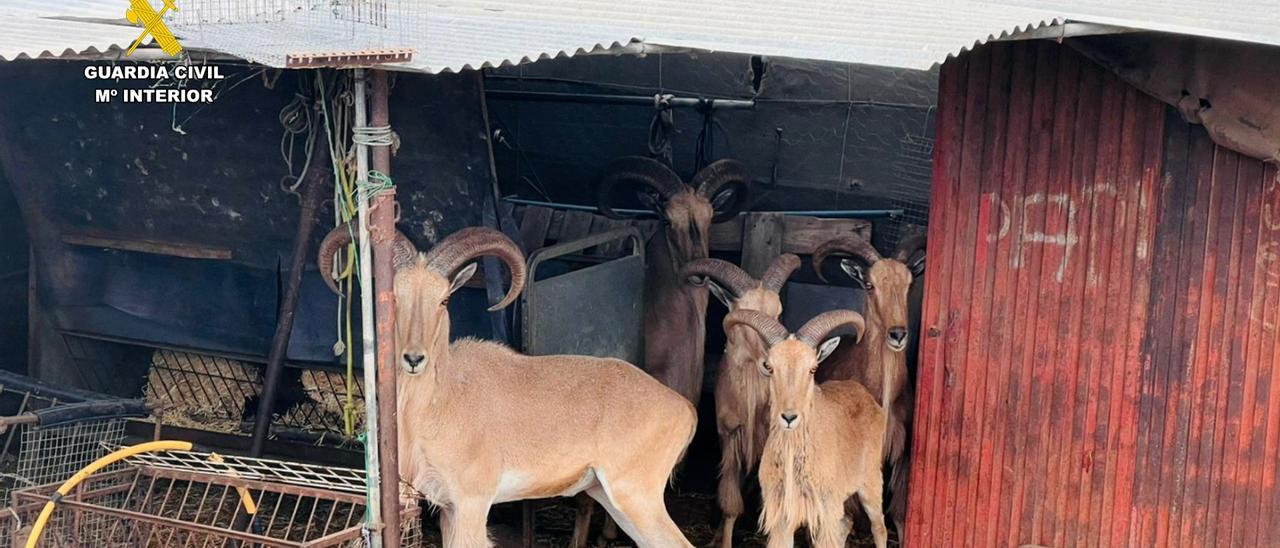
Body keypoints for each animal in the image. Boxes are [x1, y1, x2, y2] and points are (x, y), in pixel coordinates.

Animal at [320, 224, 701, 548]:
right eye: (395, 299)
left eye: (443, 300)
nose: (413, 359)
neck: (442, 397)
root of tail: (685, 409)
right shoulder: (447, 508)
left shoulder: (472, 502)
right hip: (610, 496)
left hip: (636, 494)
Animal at [727, 308, 885, 548]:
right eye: (770, 367)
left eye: (812, 369)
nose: (789, 417)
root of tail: (866, 396)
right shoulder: (782, 519)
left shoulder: (826, 511)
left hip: (871, 481)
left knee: (879, 528)